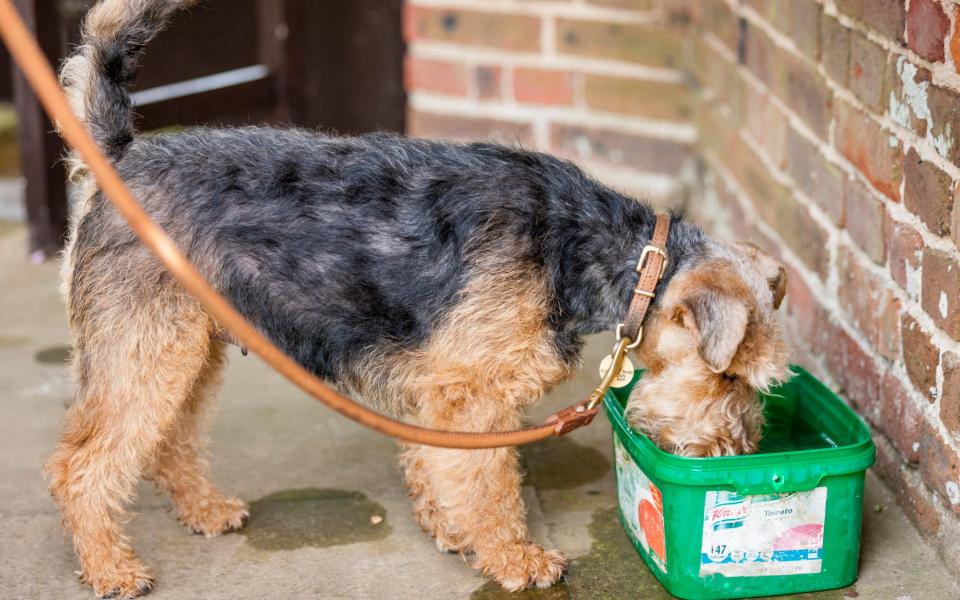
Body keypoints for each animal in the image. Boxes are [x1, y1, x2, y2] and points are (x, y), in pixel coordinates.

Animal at [47, 1, 788, 596]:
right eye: (733, 374)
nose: (739, 454)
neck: (592, 248)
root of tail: (121, 158)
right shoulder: (472, 394)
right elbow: (490, 485)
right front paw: (516, 558)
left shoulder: (442, 391)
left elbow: (440, 468)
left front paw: (451, 531)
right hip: (145, 349)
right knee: (83, 465)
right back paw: (112, 569)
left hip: (187, 347)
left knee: (168, 441)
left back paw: (205, 512)